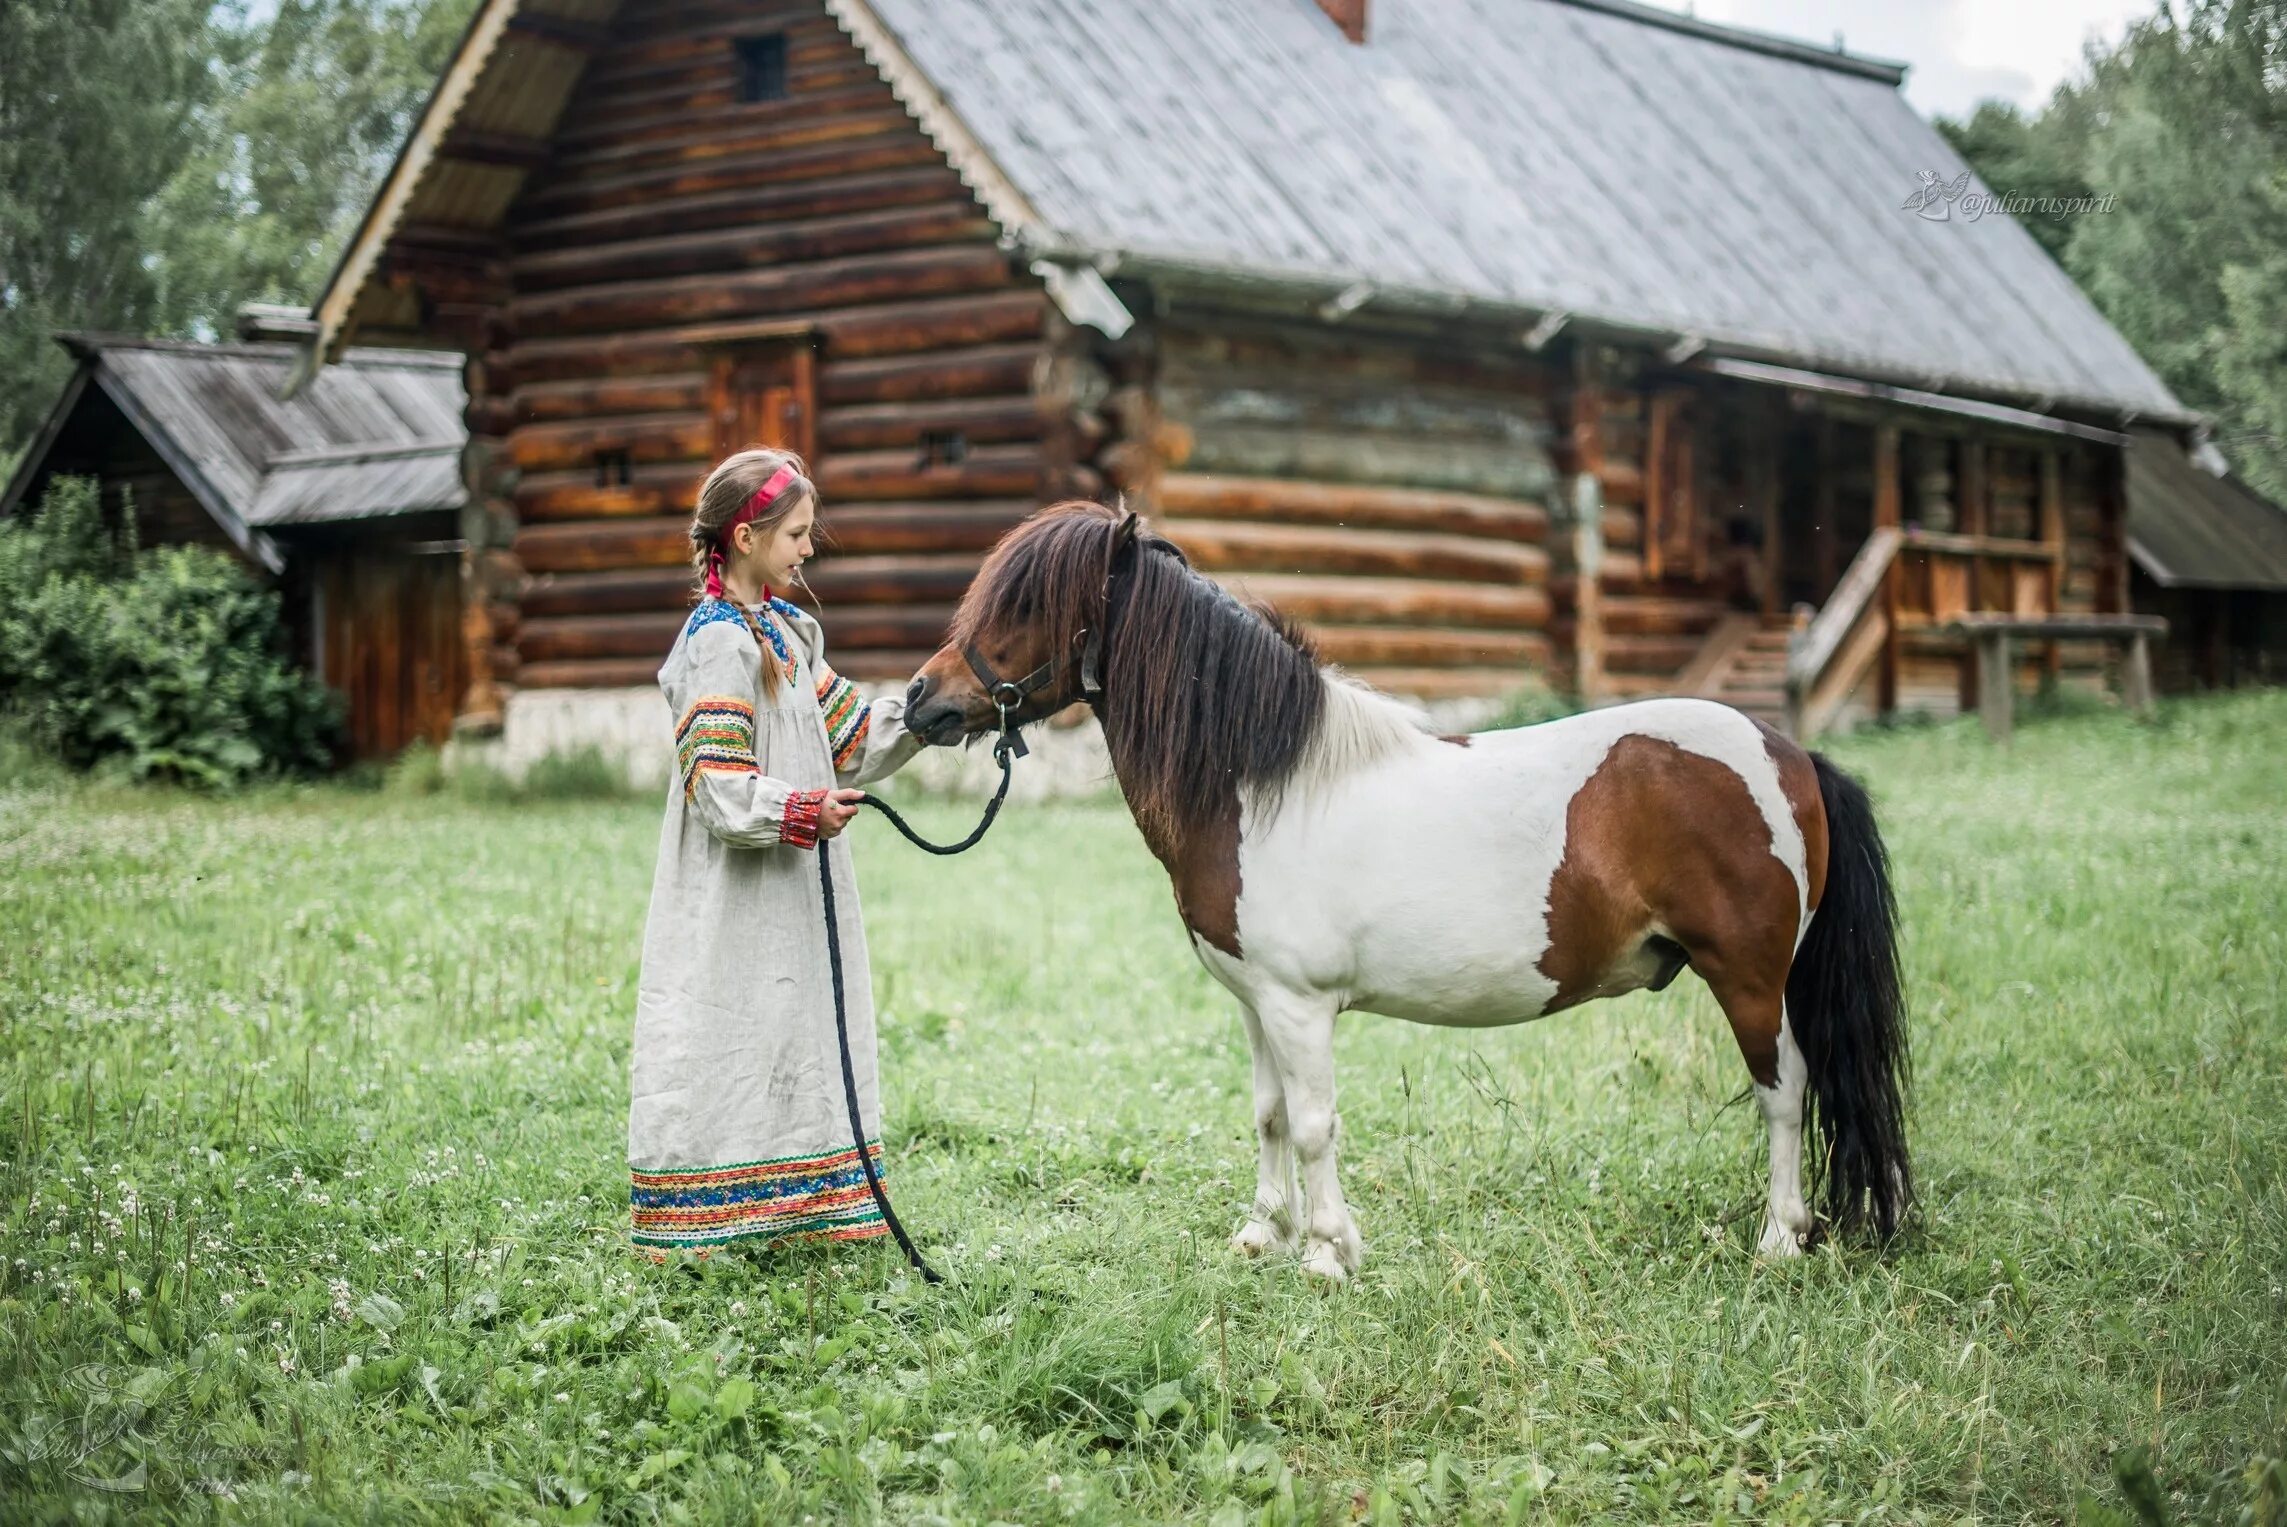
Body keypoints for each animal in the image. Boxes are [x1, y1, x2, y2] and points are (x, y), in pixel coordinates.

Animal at [901, 500, 1902, 1280]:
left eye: (1026, 605)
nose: (918, 700)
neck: (1263, 784)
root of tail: (1787, 752)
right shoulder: (1255, 1002)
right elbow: (1269, 1114)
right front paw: (1263, 1234)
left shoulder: (1300, 1006)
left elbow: (1313, 1124)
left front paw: (1325, 1252)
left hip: (1747, 979)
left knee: (1785, 1090)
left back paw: (1779, 1238)